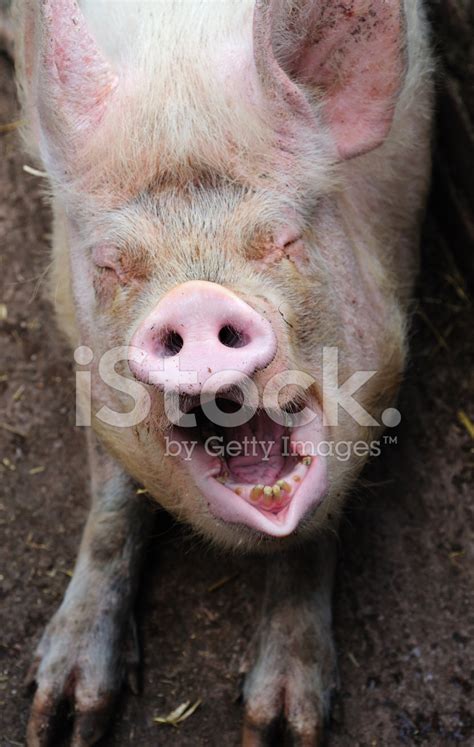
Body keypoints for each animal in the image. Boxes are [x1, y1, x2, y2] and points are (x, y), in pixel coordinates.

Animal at [11, 0, 434, 744]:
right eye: (111, 265)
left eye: (285, 239)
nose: (196, 299)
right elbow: (112, 500)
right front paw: (59, 721)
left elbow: (314, 528)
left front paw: (279, 726)